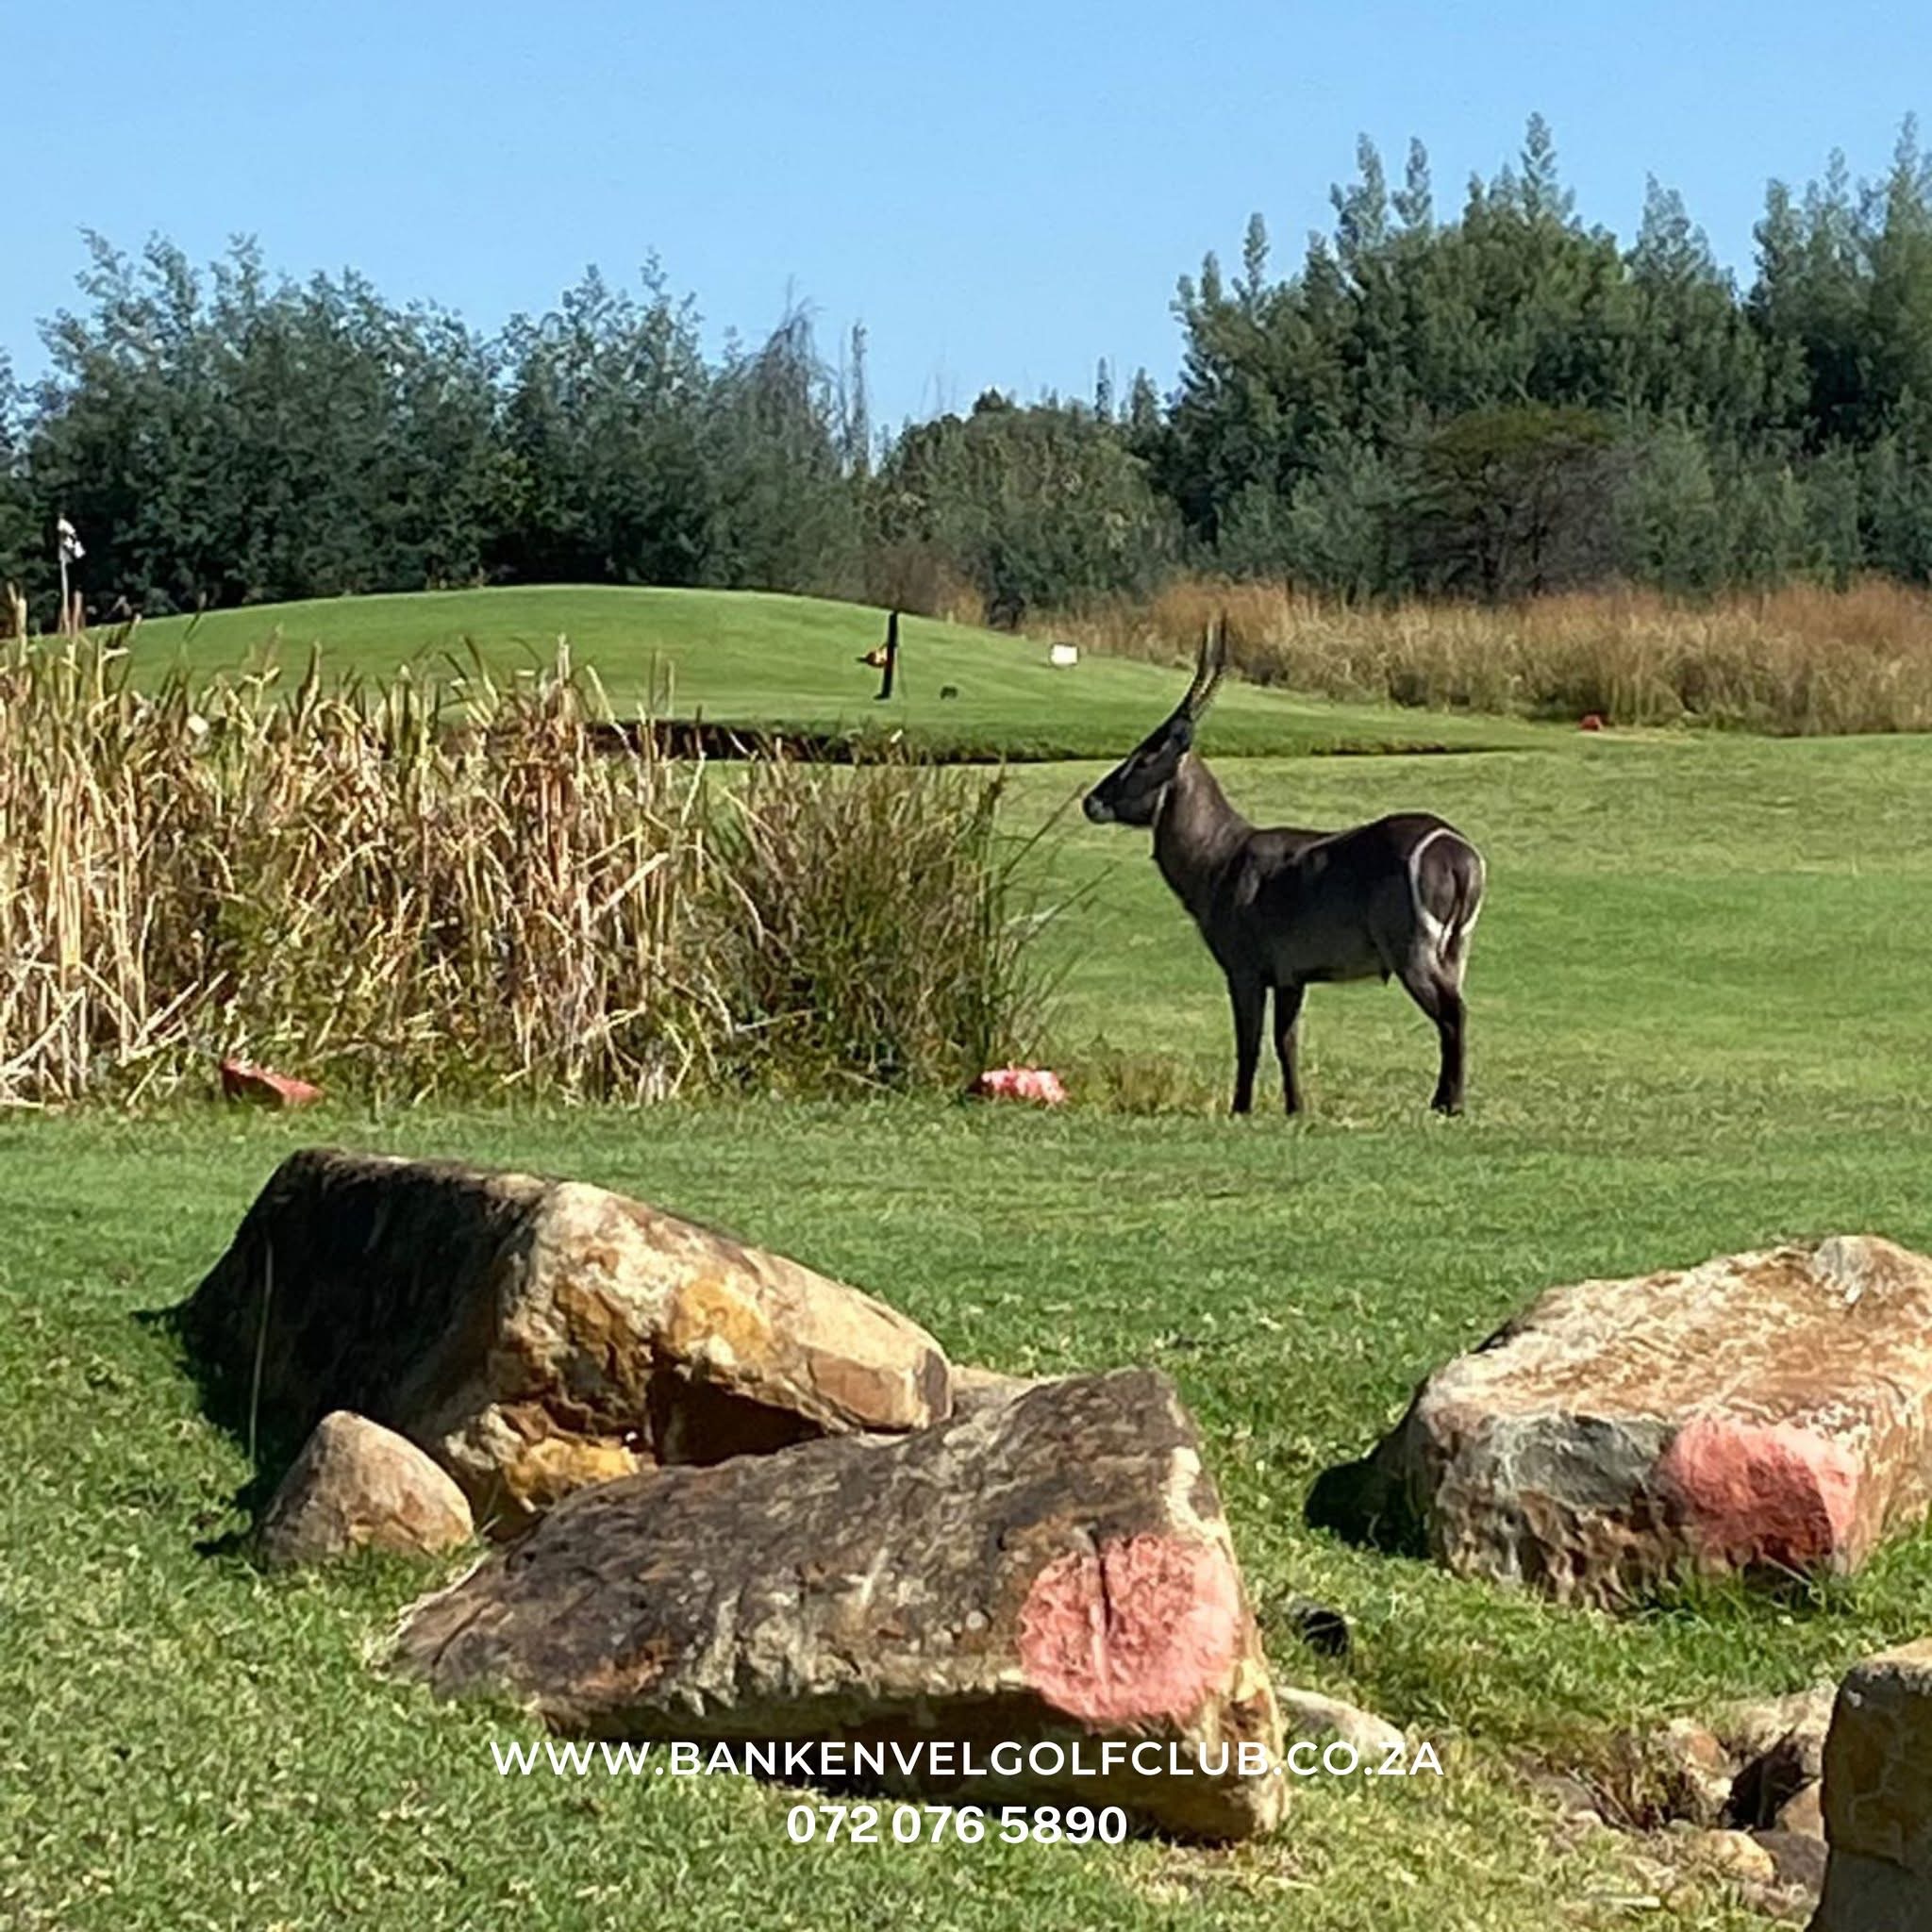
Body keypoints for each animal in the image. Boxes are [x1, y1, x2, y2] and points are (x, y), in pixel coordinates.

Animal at [1081, 628, 1486, 1116]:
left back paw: (1450, 1103)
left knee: (1453, 1014)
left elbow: (1250, 1043)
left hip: (1413, 952)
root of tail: (1456, 851)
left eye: (1143, 757)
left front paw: (1240, 1109)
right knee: (1455, 1012)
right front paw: (1297, 1108)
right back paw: (1444, 1100)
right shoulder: (1293, 977)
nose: (1091, 800)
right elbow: (1286, 1041)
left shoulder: (1244, 971)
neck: (1222, 855)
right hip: (1455, 952)